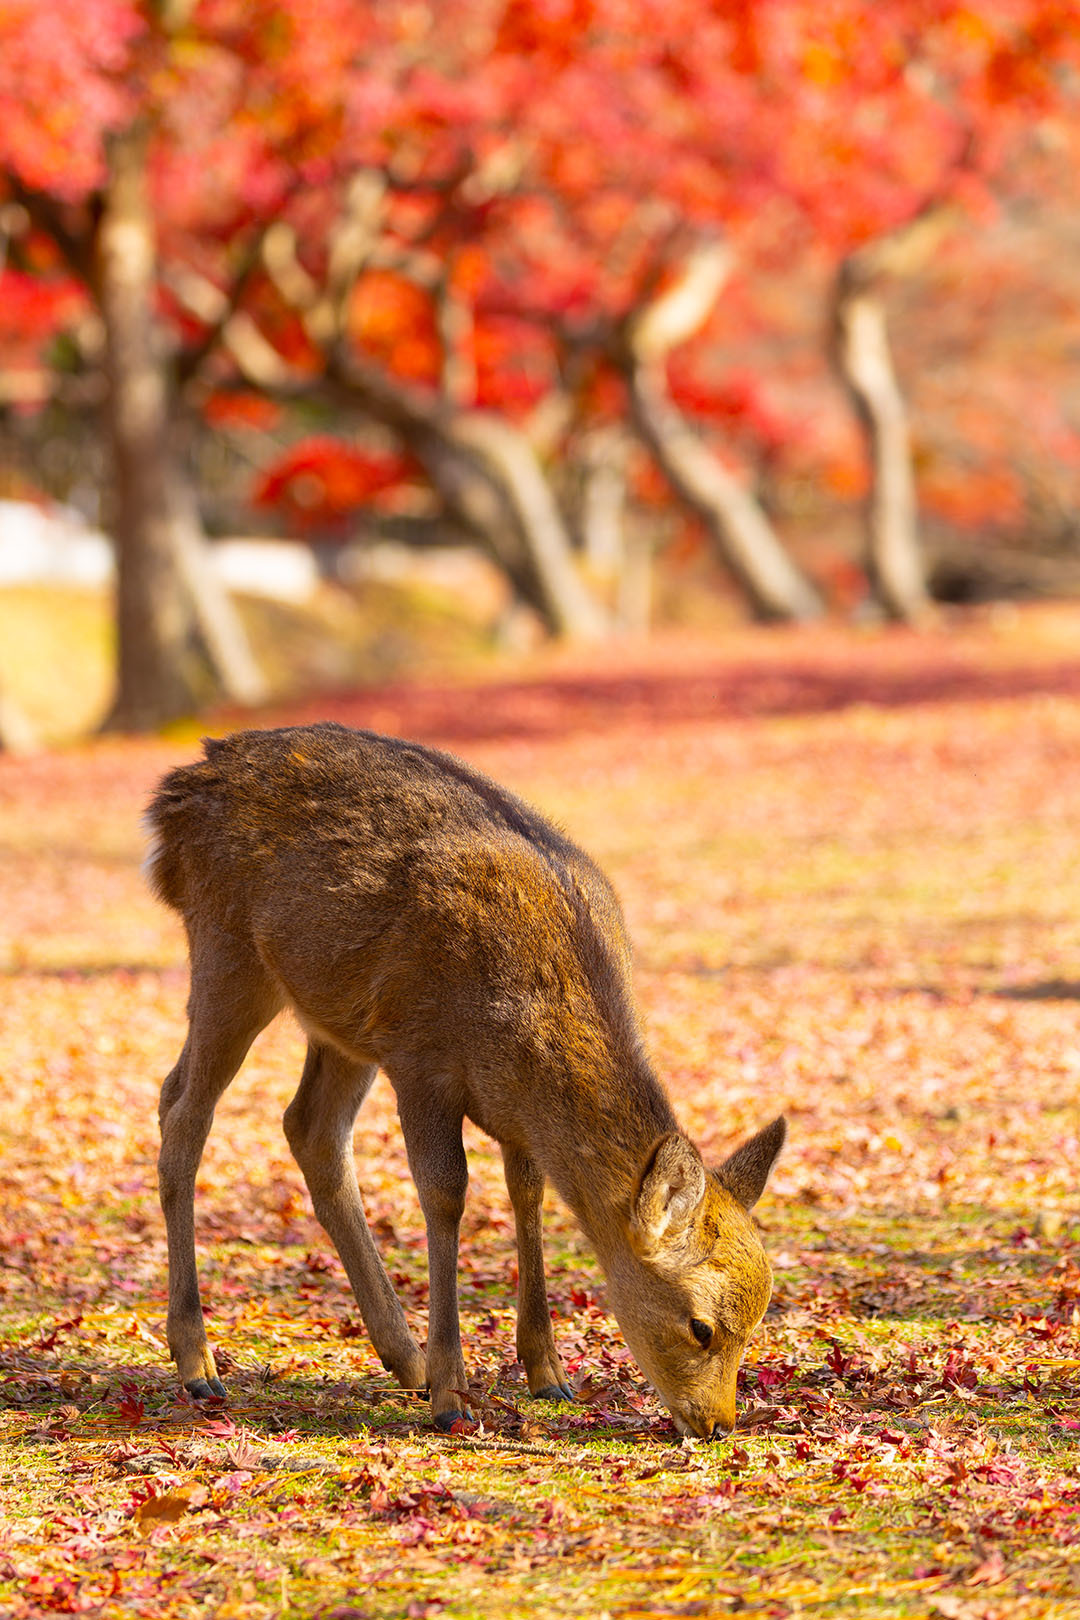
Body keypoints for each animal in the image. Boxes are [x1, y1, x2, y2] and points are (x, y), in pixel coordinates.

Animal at [145, 723, 786, 1439]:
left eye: (757, 1322)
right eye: (701, 1326)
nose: (719, 1423)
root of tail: (176, 793)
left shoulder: (506, 1109)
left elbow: (527, 1192)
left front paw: (547, 1374)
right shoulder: (420, 1058)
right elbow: (446, 1193)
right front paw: (454, 1395)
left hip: (341, 1020)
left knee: (309, 1127)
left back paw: (403, 1359)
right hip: (228, 952)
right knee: (182, 1108)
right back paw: (200, 1364)